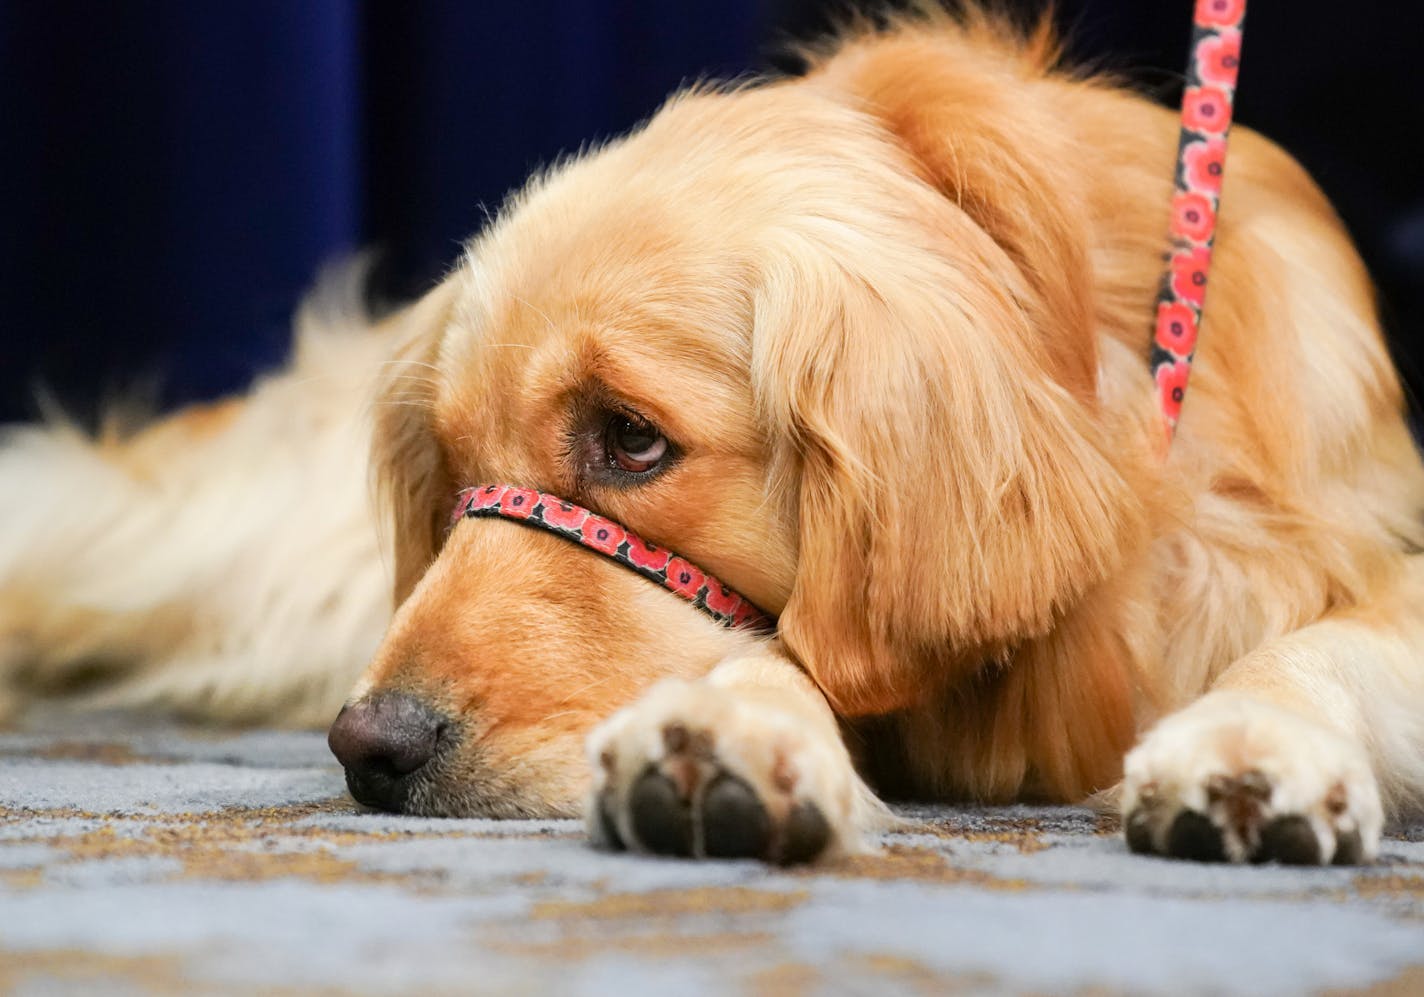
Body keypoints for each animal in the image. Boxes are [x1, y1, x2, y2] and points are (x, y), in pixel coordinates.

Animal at [2, 9, 1424, 865]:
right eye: (456, 478)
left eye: (631, 441)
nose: (371, 748)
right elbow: (776, 649)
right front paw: (732, 726)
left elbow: (1329, 639)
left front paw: (1251, 746)